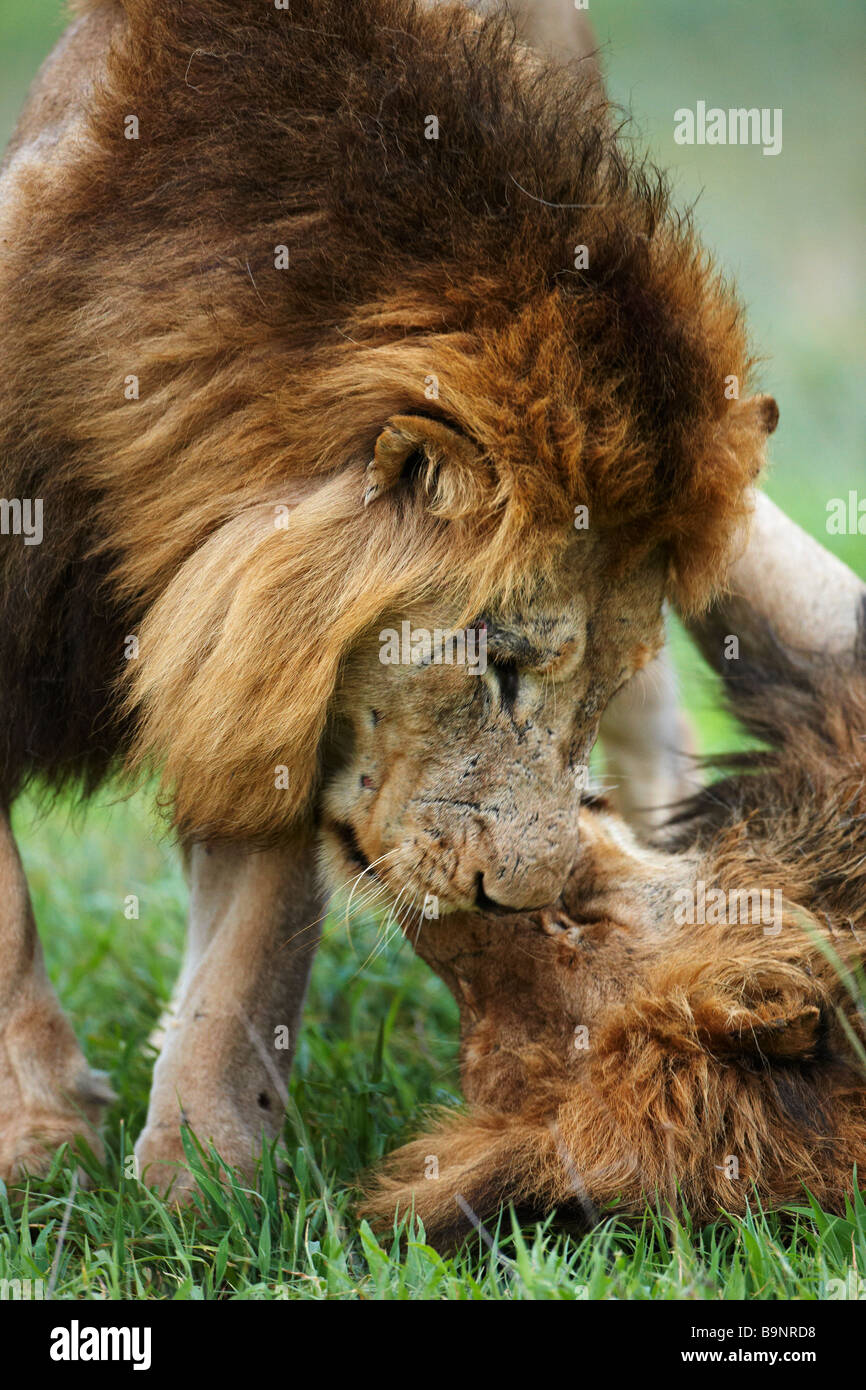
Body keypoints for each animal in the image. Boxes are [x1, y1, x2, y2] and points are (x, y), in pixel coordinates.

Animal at [1, 2, 778, 1195]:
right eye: (496, 665)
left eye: (571, 689)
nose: (528, 900)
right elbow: (6, 921)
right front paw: (39, 1143)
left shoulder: (266, 688)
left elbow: (249, 952)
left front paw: (203, 1180)